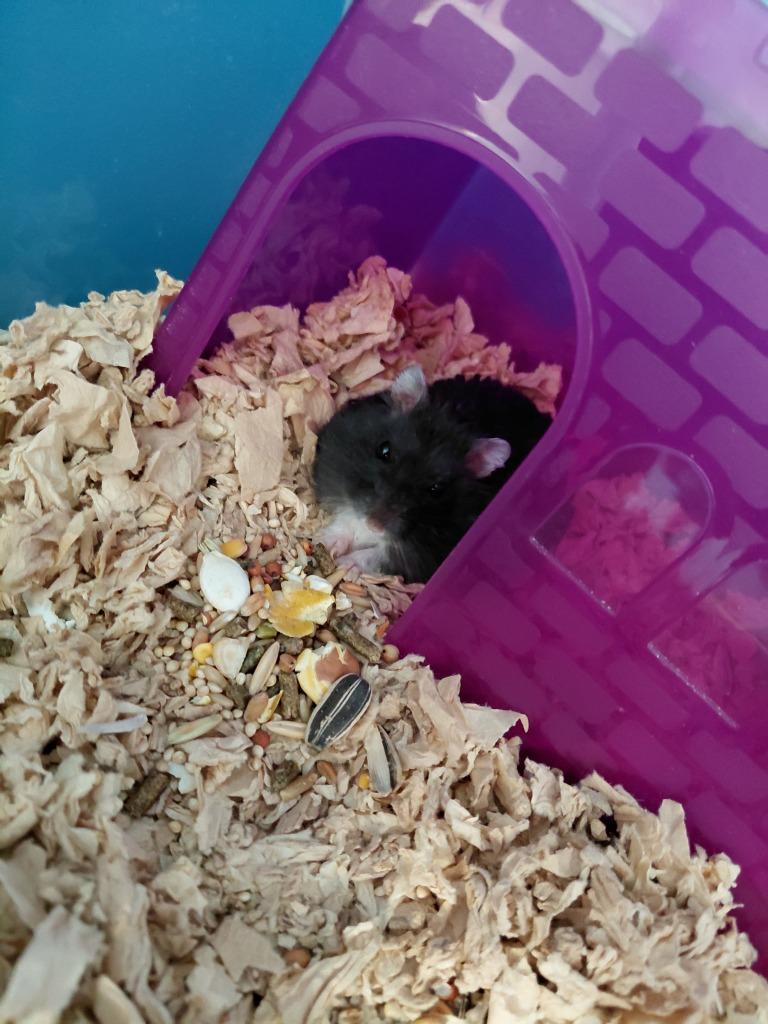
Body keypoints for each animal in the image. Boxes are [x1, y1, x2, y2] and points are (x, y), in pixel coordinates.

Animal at [312, 365, 550, 582]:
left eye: (436, 489)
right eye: (384, 451)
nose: (374, 525)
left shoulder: (423, 556)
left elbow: (378, 555)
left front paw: (345, 565)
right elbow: (346, 520)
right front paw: (323, 542)